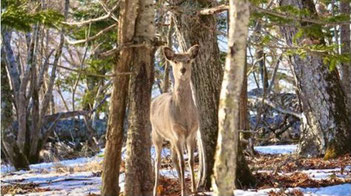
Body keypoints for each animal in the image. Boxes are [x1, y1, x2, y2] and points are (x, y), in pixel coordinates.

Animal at [151, 44, 201, 196]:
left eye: (188, 60)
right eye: (175, 61)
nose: (182, 70)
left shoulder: (192, 133)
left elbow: (190, 161)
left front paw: (194, 190)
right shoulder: (177, 133)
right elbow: (182, 162)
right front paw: (185, 191)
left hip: (171, 139)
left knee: (173, 158)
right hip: (156, 133)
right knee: (157, 161)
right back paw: (155, 190)